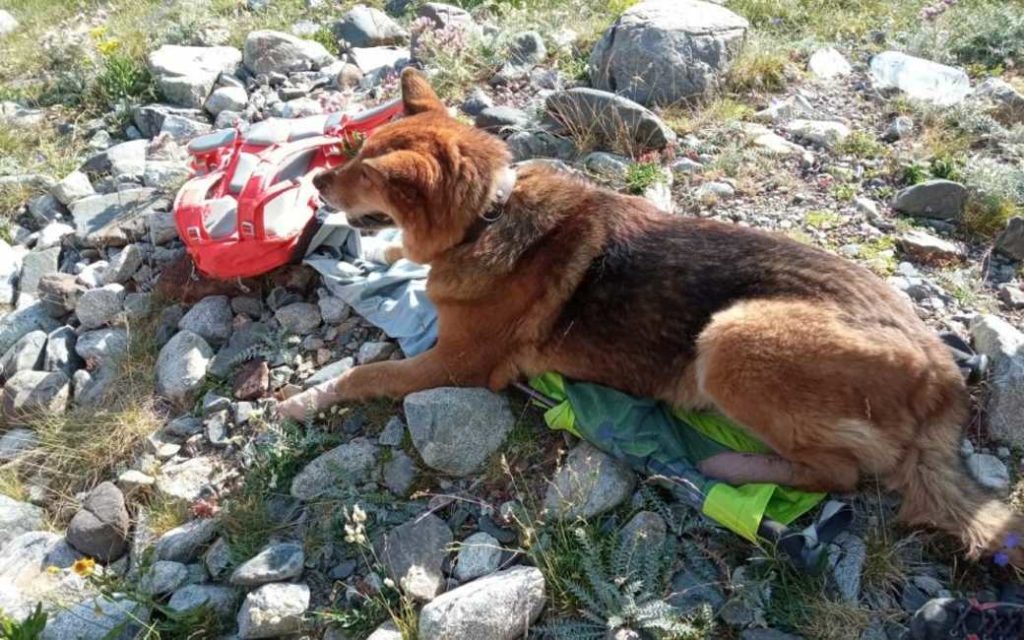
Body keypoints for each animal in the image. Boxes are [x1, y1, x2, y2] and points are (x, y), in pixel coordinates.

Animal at [278, 67, 1015, 561]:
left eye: (364, 173)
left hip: (734, 339)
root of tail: (942, 378)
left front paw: (301, 400)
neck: (489, 211)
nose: (313, 182)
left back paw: (728, 468)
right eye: (352, 153)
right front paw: (384, 258)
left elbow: (367, 375)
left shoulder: (457, 363)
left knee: (838, 474)